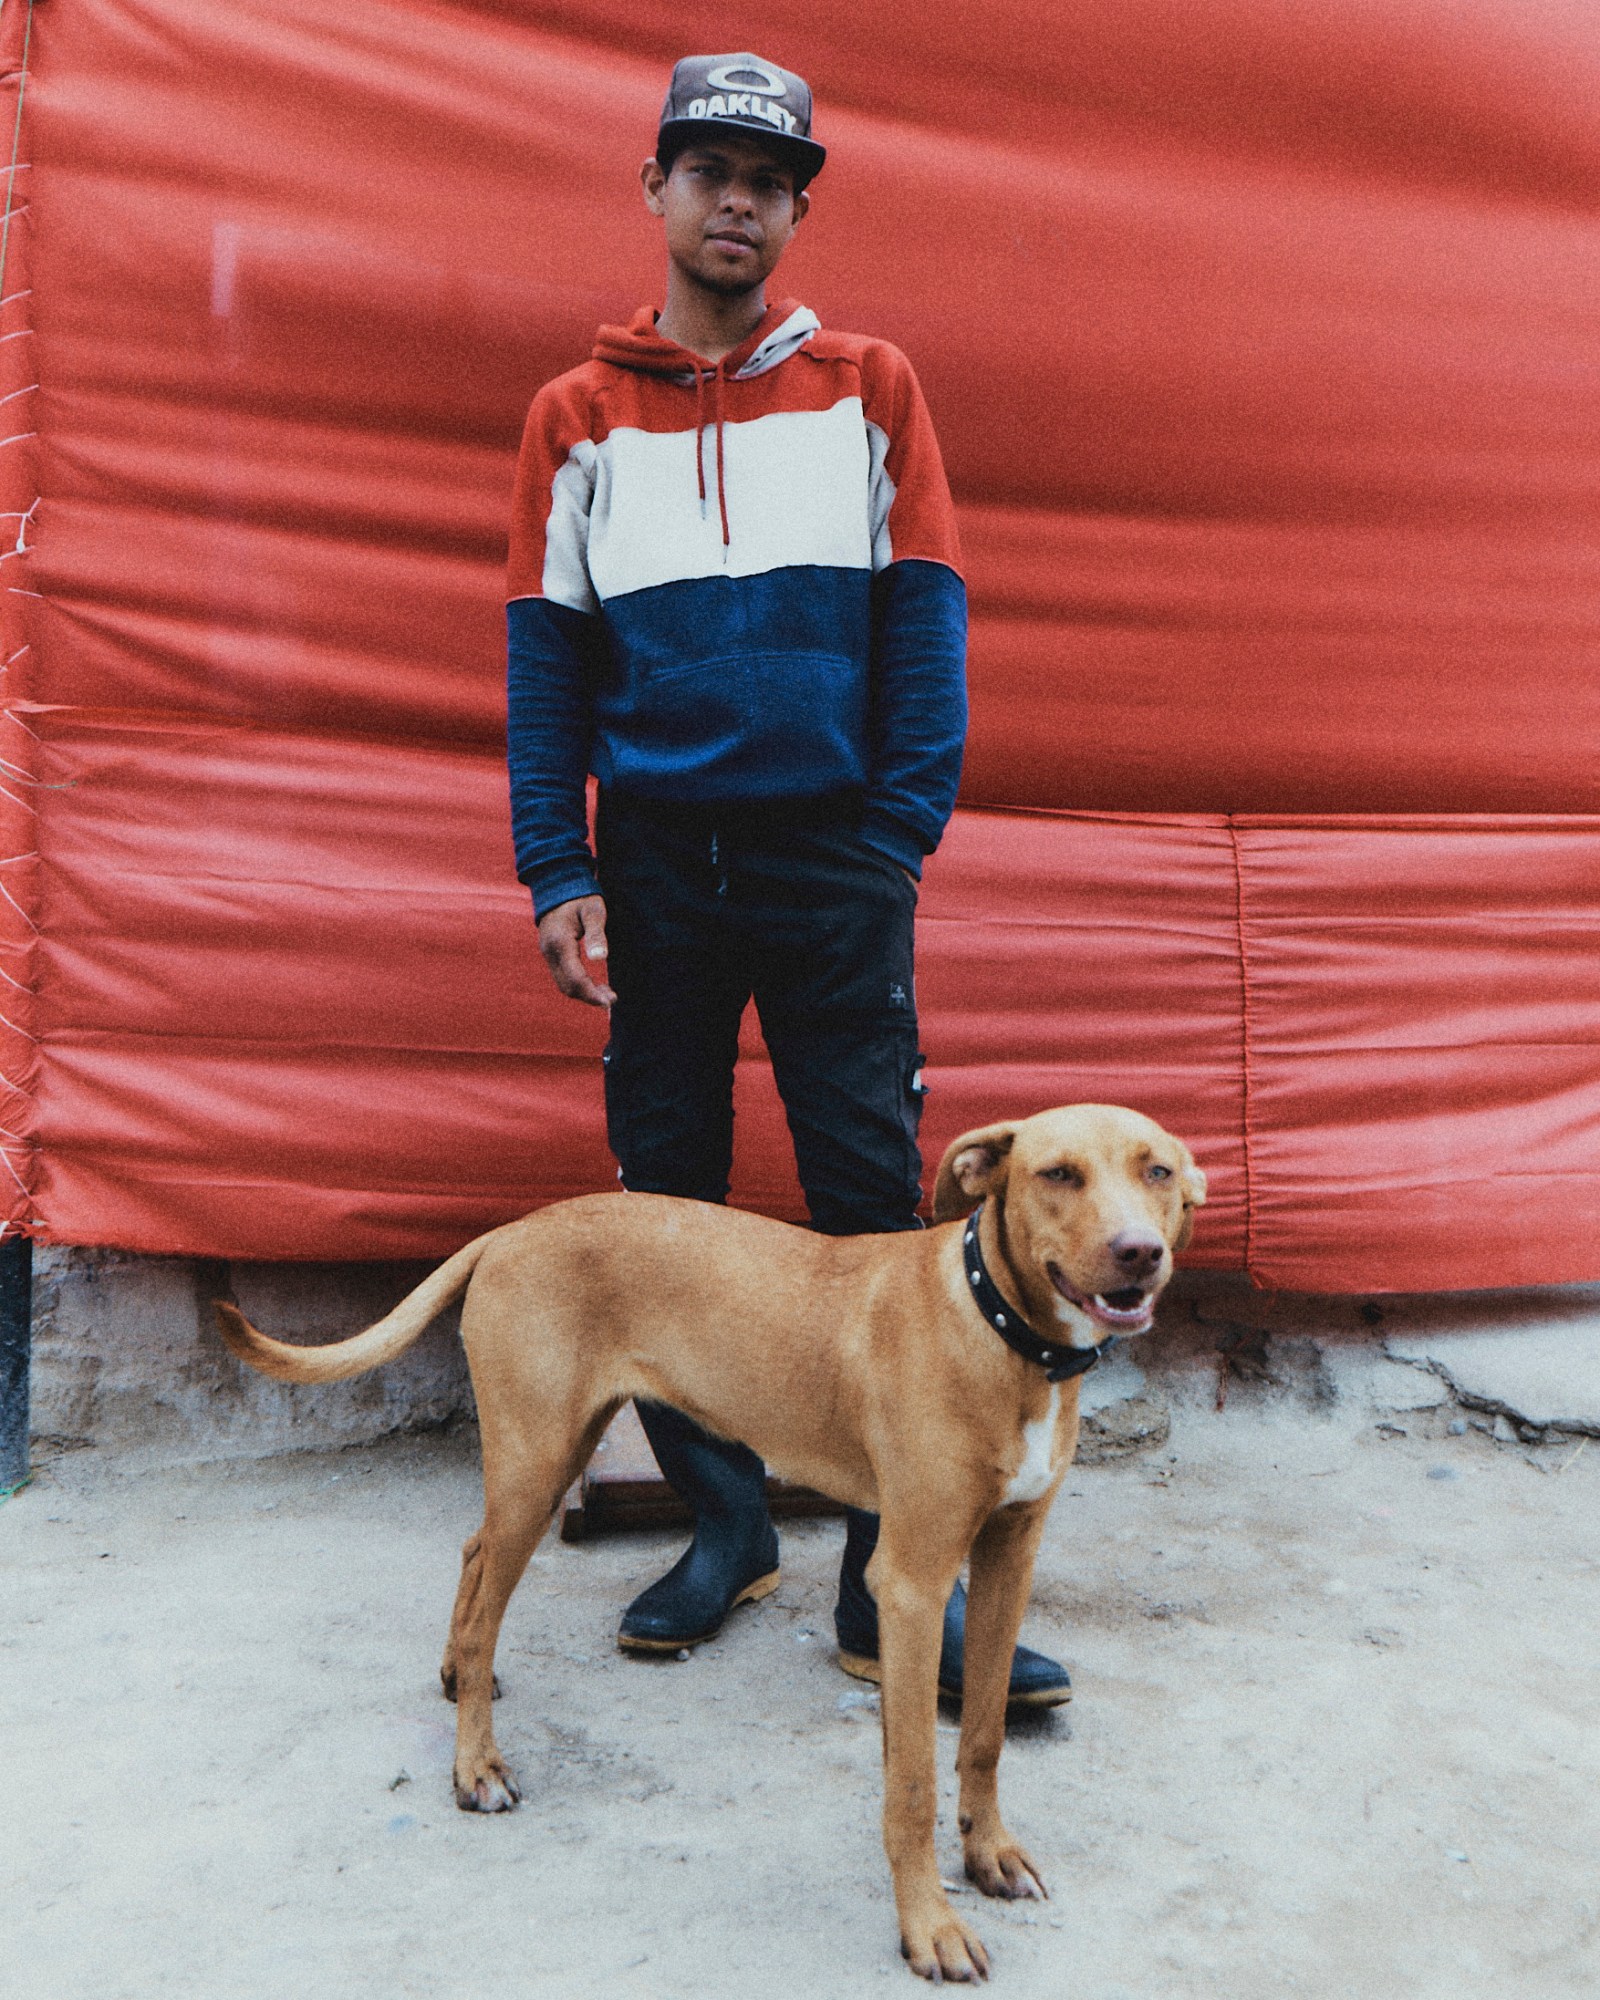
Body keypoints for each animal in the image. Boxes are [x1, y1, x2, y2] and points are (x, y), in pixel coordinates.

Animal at [222, 1112, 1200, 1984]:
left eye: (1157, 1171)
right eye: (1057, 1173)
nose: (1137, 1252)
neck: (1002, 1333)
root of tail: (514, 1228)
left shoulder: (1006, 1559)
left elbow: (987, 1734)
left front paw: (991, 1854)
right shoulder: (914, 1581)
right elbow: (913, 1782)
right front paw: (930, 1926)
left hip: (550, 1456)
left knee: (472, 1558)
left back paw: (464, 1673)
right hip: (538, 1461)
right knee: (489, 1582)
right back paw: (476, 1764)